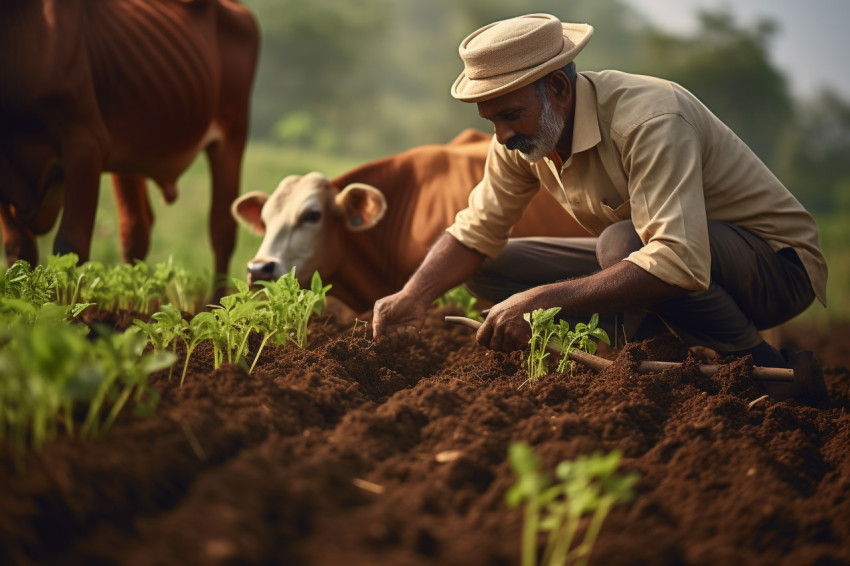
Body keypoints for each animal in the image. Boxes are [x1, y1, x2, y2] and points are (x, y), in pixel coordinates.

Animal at [0, 0, 258, 282]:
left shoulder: (85, 145)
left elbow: (70, 246)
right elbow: (18, 248)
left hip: (232, 136)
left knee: (222, 231)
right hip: (131, 153)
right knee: (137, 230)